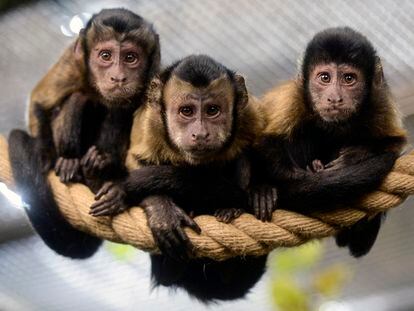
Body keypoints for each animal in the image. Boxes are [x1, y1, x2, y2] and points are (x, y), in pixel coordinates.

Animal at [8, 8, 160, 260]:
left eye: (130, 58)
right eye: (106, 56)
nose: (118, 77)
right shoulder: (73, 62)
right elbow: (40, 101)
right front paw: (44, 154)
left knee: (118, 109)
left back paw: (99, 168)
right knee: (79, 98)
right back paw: (70, 163)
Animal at [90, 55, 268, 302]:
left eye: (212, 110)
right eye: (187, 111)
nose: (200, 133)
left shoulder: (249, 114)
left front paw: (262, 190)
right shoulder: (151, 123)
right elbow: (137, 161)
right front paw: (161, 211)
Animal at [251, 27, 406, 258]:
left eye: (349, 78)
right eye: (325, 77)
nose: (334, 98)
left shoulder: (380, 102)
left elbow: (395, 143)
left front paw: (354, 156)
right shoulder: (292, 97)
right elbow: (263, 139)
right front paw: (289, 180)